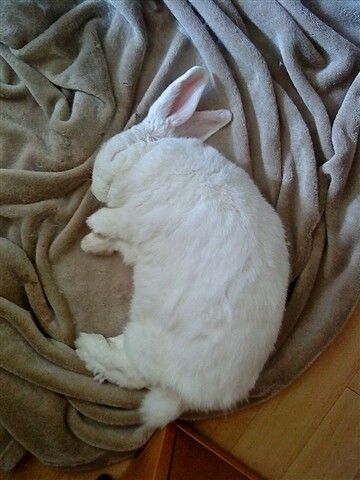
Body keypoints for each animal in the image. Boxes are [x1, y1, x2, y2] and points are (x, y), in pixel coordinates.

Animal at [75, 66, 290, 428]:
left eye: (115, 155)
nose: (97, 188)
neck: (145, 157)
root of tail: (183, 397)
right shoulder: (135, 240)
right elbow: (119, 242)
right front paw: (92, 244)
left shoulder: (138, 217)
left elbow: (114, 222)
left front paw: (92, 227)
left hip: (145, 338)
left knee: (133, 373)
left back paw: (87, 348)